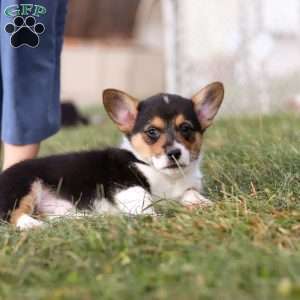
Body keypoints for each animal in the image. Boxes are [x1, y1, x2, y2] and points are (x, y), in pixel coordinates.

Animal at [0, 81, 223, 229]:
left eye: (186, 128)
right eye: (152, 132)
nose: (174, 153)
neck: (165, 175)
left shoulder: (185, 188)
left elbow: (191, 193)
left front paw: (205, 204)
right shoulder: (126, 184)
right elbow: (144, 202)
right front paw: (155, 218)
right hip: (25, 186)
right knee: (13, 215)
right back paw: (33, 226)